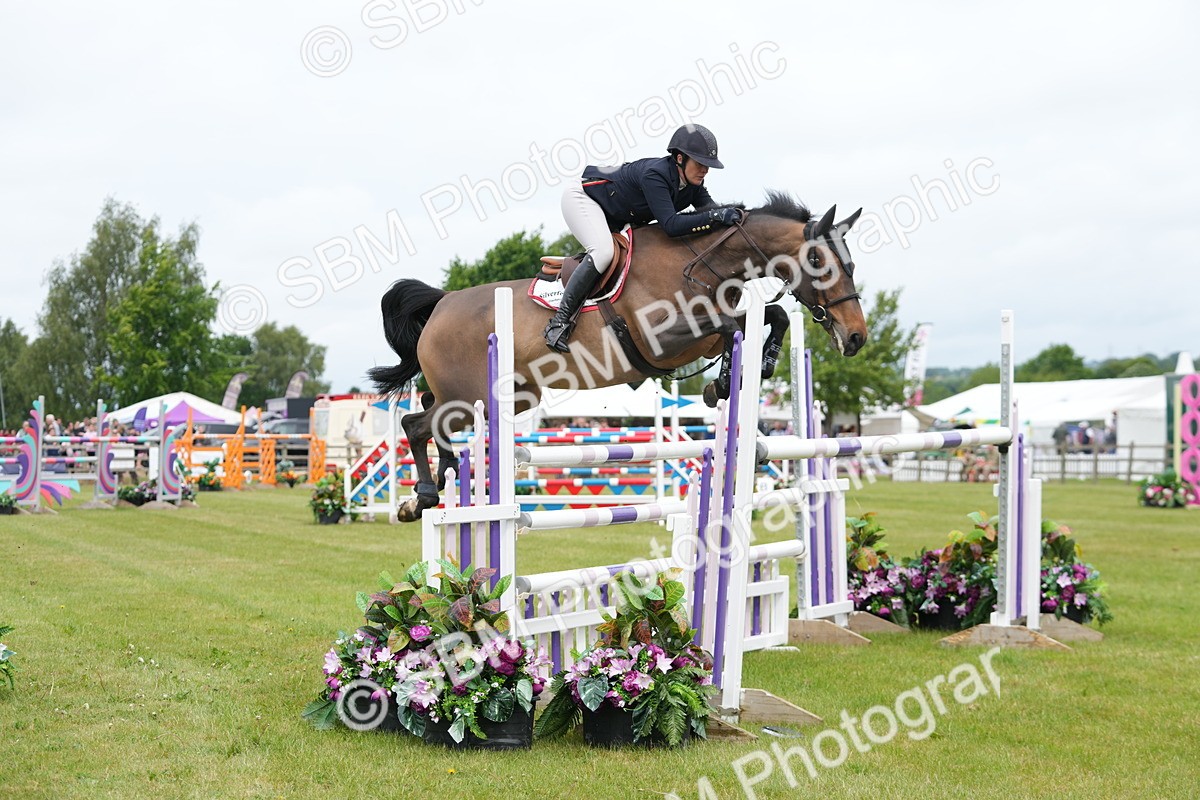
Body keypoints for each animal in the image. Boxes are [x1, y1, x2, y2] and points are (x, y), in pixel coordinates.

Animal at [369, 191, 868, 521]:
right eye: (821, 263)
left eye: (851, 265)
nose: (857, 337)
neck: (702, 261)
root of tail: (442, 303)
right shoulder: (663, 339)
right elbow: (733, 328)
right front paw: (724, 382)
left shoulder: (702, 334)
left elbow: (770, 317)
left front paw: (745, 371)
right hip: (468, 396)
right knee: (415, 423)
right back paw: (424, 496)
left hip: (507, 396)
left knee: (429, 416)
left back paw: (443, 479)